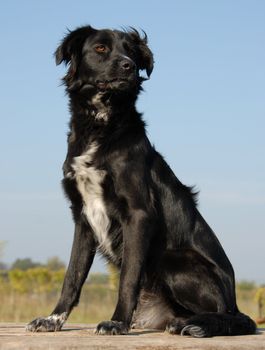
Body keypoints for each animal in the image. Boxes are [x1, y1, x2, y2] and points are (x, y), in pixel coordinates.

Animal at [25, 24, 255, 336]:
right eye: (100, 48)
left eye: (131, 52)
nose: (129, 66)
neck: (101, 127)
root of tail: (234, 302)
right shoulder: (82, 218)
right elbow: (72, 276)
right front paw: (53, 319)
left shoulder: (138, 214)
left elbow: (128, 277)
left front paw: (117, 322)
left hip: (171, 259)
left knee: (222, 314)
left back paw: (190, 323)